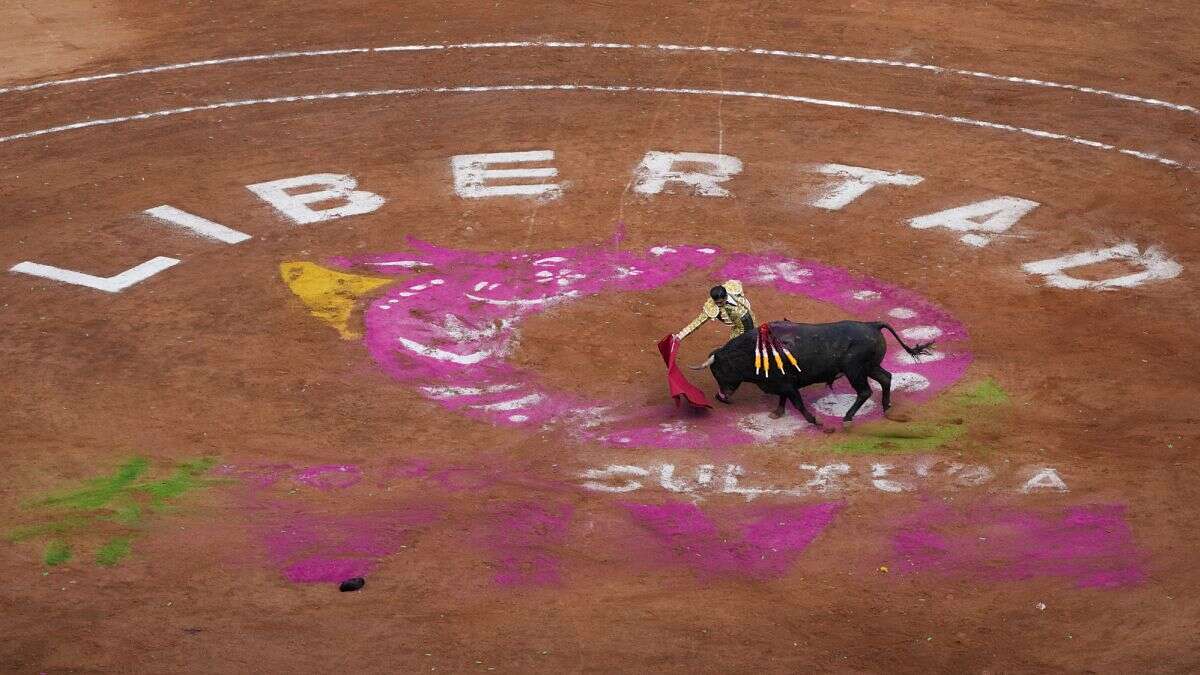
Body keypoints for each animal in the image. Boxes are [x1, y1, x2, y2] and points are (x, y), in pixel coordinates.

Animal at [691, 319, 931, 425]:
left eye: (718, 370)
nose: (721, 396)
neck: (753, 351)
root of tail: (872, 325)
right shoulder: (782, 384)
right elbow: (783, 399)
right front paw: (777, 412)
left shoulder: (787, 384)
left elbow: (796, 402)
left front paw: (814, 420)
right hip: (870, 367)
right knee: (886, 378)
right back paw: (886, 407)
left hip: (854, 371)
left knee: (864, 392)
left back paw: (847, 417)